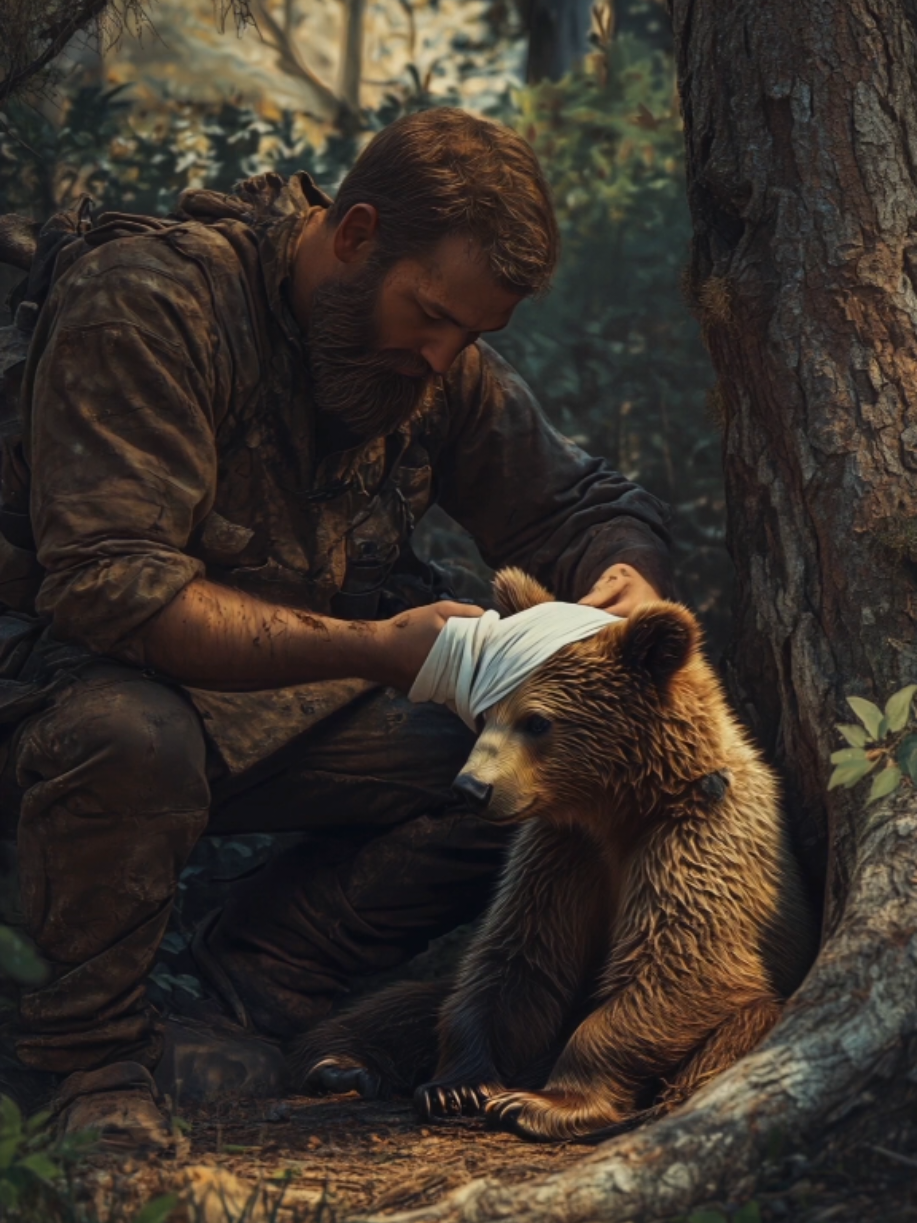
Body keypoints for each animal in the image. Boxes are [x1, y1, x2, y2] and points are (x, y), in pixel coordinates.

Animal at [288, 568, 818, 1141]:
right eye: (485, 713)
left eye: (537, 721)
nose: (471, 789)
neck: (621, 807)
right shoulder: (560, 853)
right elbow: (516, 959)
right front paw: (458, 1086)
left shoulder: (695, 841)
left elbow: (681, 967)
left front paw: (537, 1103)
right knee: (408, 1002)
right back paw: (339, 1063)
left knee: (749, 1022)